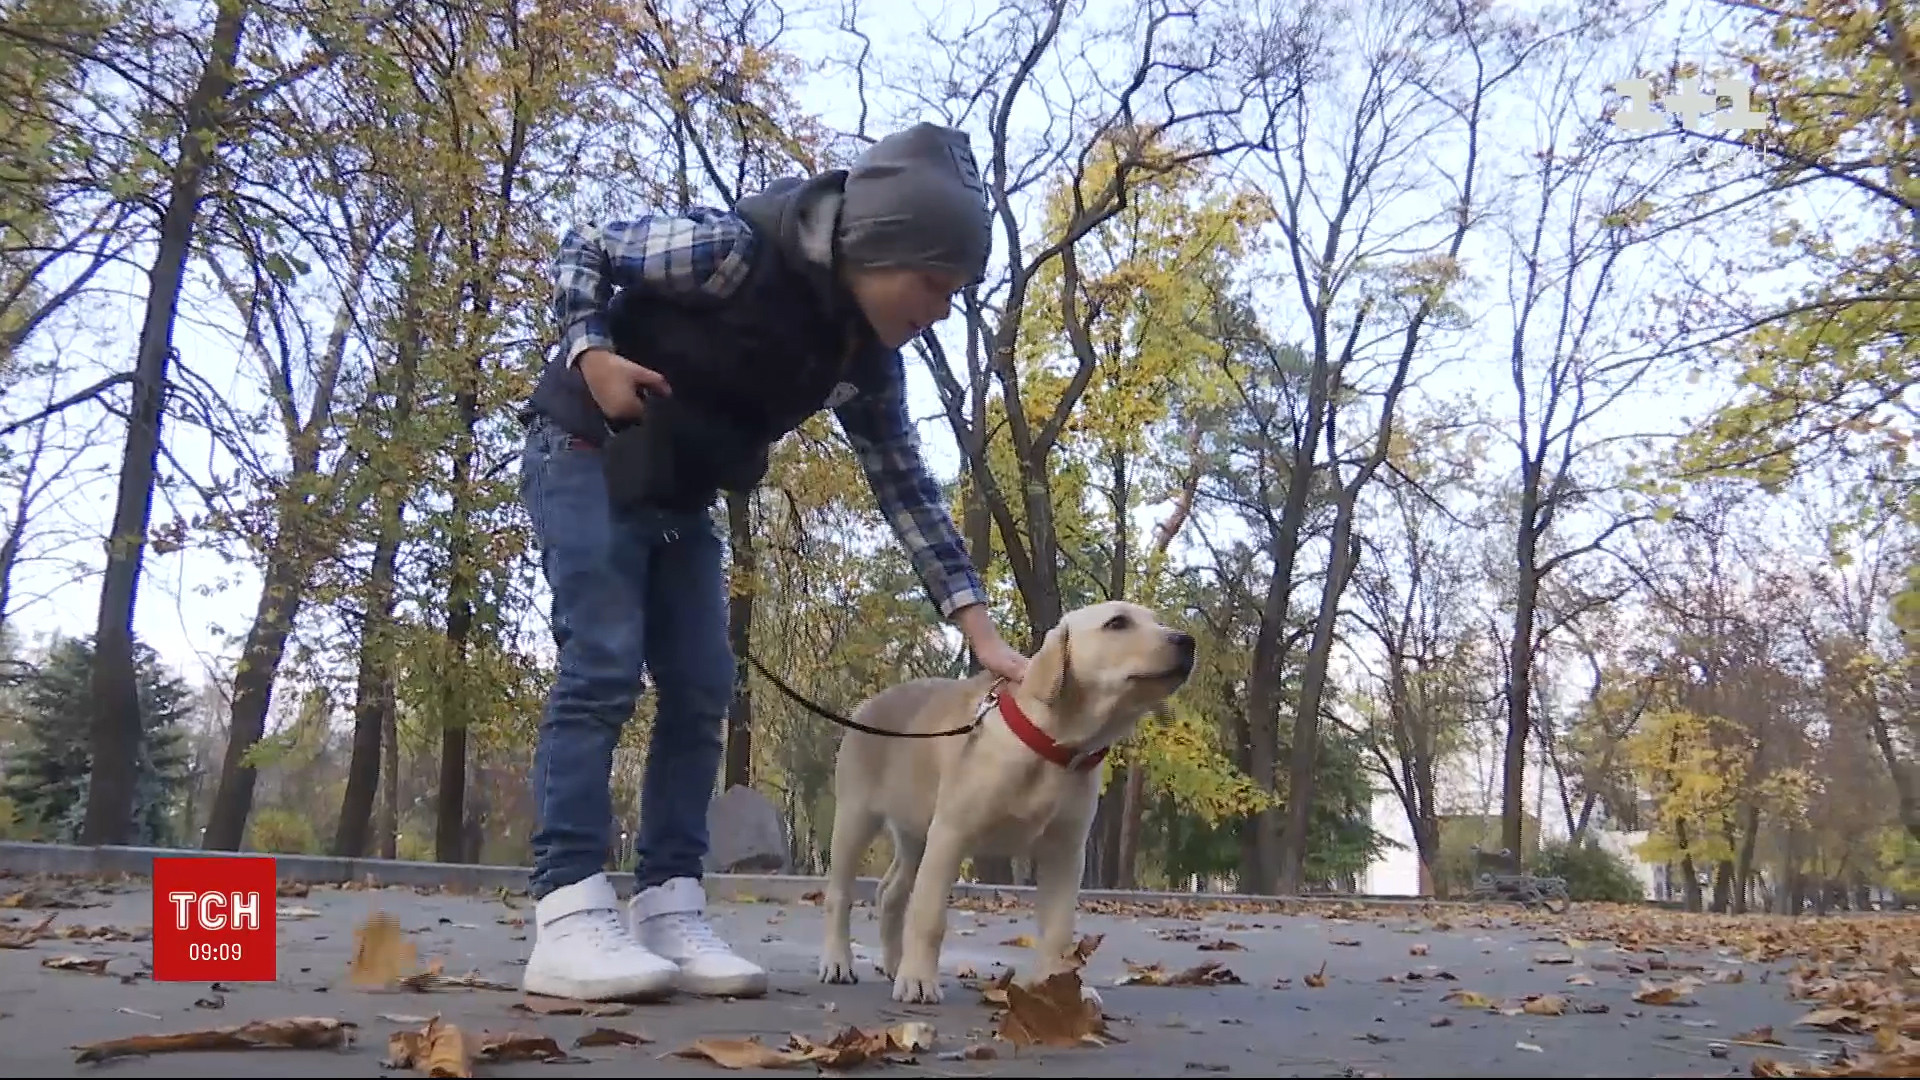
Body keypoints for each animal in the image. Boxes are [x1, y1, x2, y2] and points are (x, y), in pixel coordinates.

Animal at [814, 595, 1198, 999]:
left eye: (1157, 620)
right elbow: (929, 915)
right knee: (840, 895)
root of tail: (868, 704)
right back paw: (839, 961)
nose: (1187, 641)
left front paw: (1060, 989)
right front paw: (919, 979)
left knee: (891, 893)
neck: (1053, 745)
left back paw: (892, 964)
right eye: (1117, 623)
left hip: (916, 833)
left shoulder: (1065, 851)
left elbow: (1059, 930)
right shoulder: (950, 834)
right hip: (857, 817)